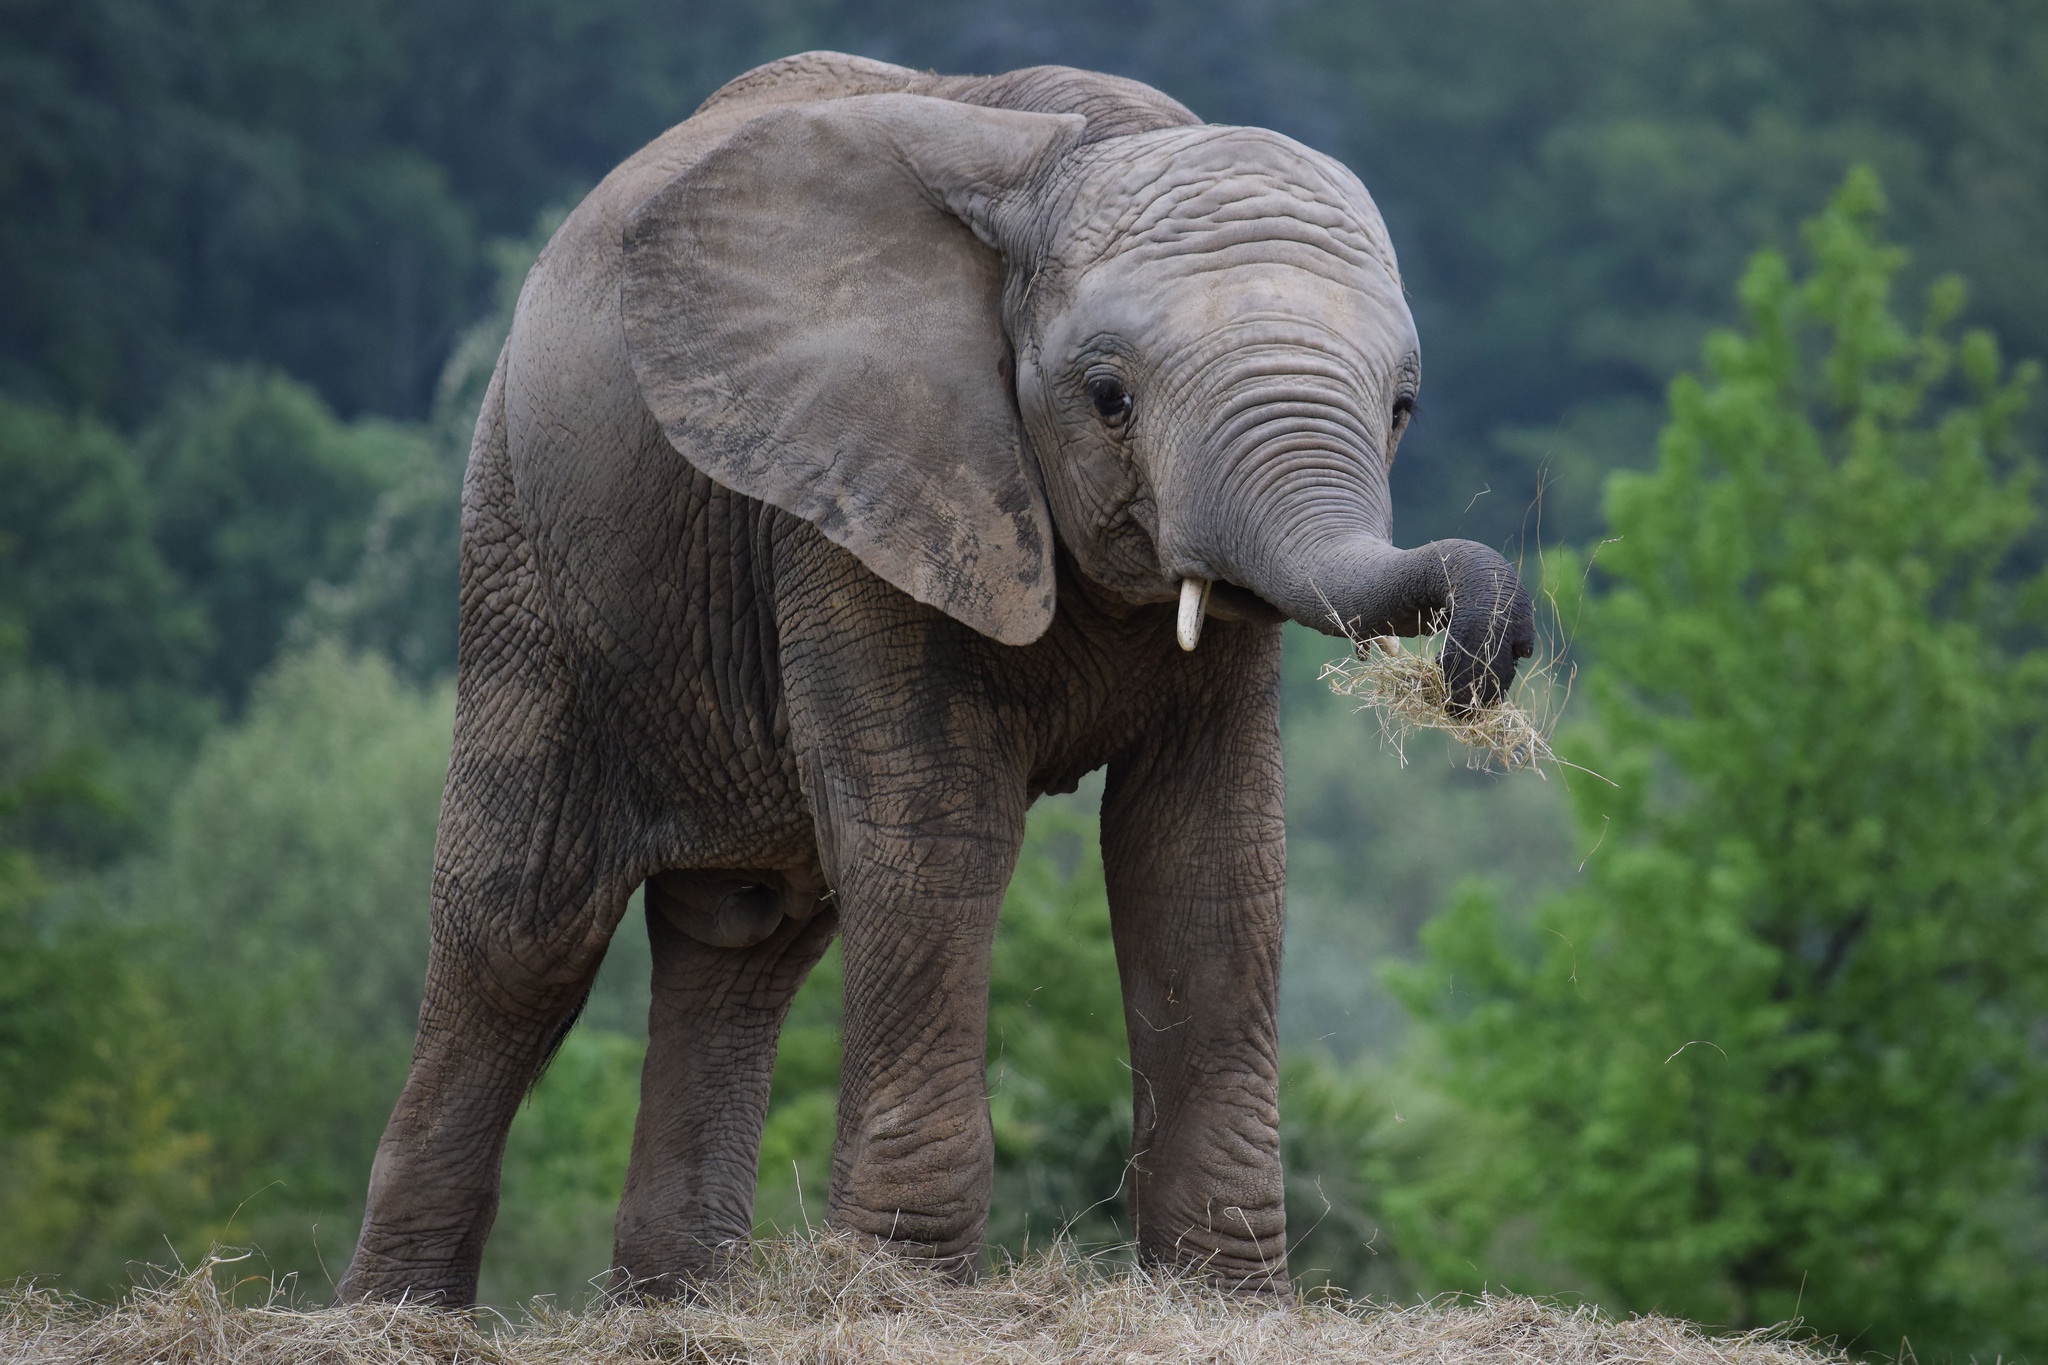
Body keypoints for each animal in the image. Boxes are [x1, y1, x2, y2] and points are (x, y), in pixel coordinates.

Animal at [336, 50, 1533, 1306]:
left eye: (1400, 408)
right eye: (1108, 397)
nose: (1479, 655)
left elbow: (1206, 856)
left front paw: (1223, 1300)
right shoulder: (851, 485)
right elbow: (937, 835)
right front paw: (902, 1293)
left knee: (743, 937)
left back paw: (677, 1308)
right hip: (524, 554)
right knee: (522, 936)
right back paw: (399, 1318)